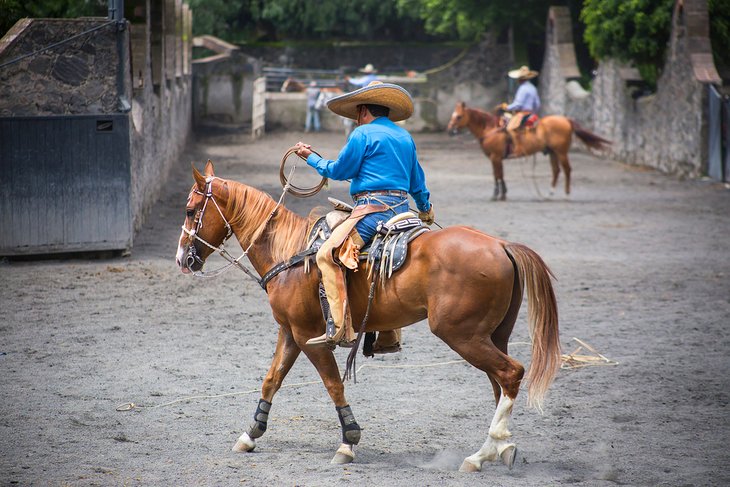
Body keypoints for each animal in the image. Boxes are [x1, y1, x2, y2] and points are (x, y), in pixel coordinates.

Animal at [173, 160, 560, 472]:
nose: (182, 259)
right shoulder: (289, 332)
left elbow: (333, 384)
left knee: (510, 374)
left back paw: (480, 456)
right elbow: (272, 379)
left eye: (191, 210)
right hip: (493, 335)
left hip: (462, 334)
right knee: (500, 383)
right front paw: (250, 434)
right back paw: (502, 448)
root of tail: (501, 245)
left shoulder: (309, 337)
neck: (290, 253)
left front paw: (348, 441)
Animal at [444, 102, 608, 201]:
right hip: (553, 153)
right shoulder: (496, 158)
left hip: (561, 152)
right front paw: (503, 193)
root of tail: (566, 120)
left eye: (459, 116)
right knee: (556, 171)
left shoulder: (495, 157)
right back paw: (549, 193)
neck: (490, 129)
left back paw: (566, 195)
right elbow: (499, 175)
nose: (449, 130)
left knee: (567, 170)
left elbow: (497, 175)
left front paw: (497, 195)